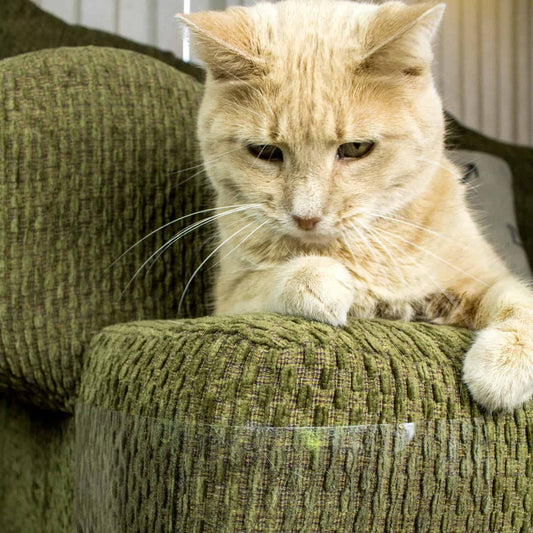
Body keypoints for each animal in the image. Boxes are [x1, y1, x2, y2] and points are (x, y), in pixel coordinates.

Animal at [179, 0, 532, 412]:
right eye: (265, 152)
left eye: (355, 148)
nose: (306, 216)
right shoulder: (229, 297)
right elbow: (270, 280)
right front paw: (317, 278)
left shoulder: (482, 277)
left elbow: (518, 299)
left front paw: (504, 367)